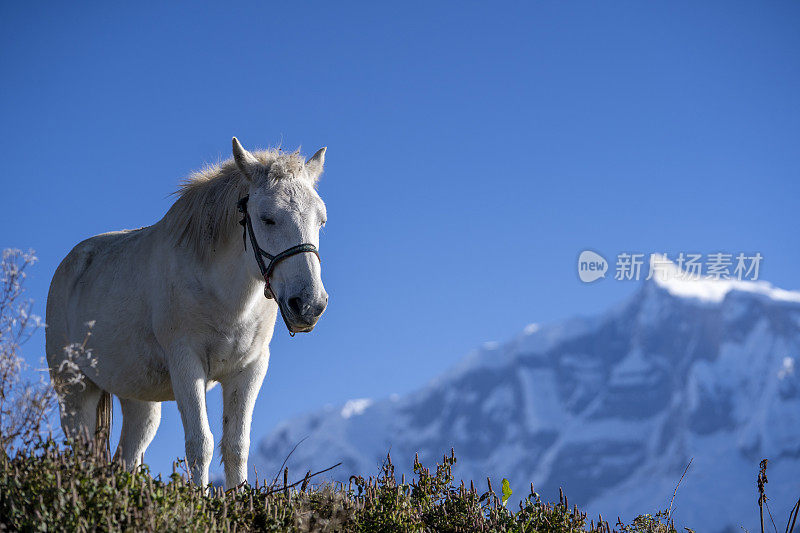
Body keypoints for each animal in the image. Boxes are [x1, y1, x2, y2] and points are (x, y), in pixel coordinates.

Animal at [46, 138, 328, 486]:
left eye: (321, 220)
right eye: (267, 218)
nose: (309, 305)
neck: (225, 297)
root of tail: (69, 265)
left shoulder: (249, 369)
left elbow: (236, 446)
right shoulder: (186, 363)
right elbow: (201, 444)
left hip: (138, 401)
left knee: (126, 458)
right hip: (75, 389)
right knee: (82, 453)